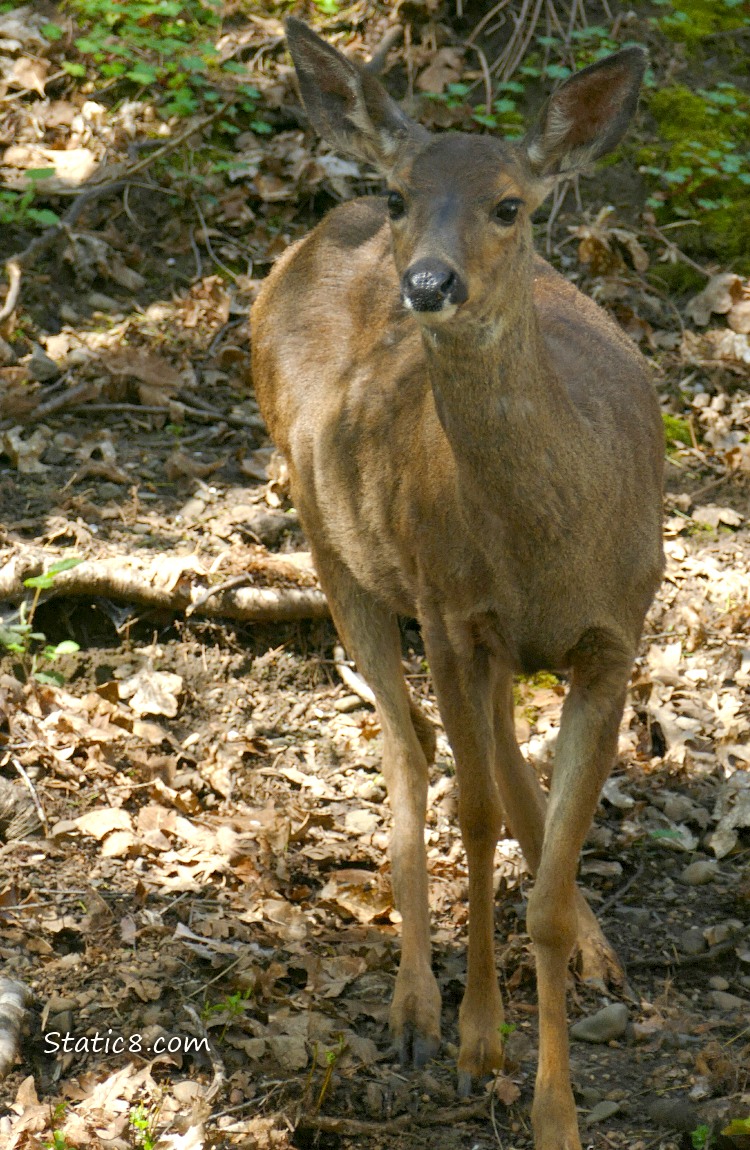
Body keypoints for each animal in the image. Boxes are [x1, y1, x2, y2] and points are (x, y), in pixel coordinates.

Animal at [251, 19, 664, 1149]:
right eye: (405, 196)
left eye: (511, 205)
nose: (429, 284)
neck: (547, 544)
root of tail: (317, 230)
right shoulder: (447, 606)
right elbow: (471, 817)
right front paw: (481, 1040)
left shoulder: (615, 635)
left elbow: (549, 883)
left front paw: (557, 1111)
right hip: (334, 538)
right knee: (412, 746)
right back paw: (414, 1011)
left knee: (492, 757)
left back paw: (600, 952)